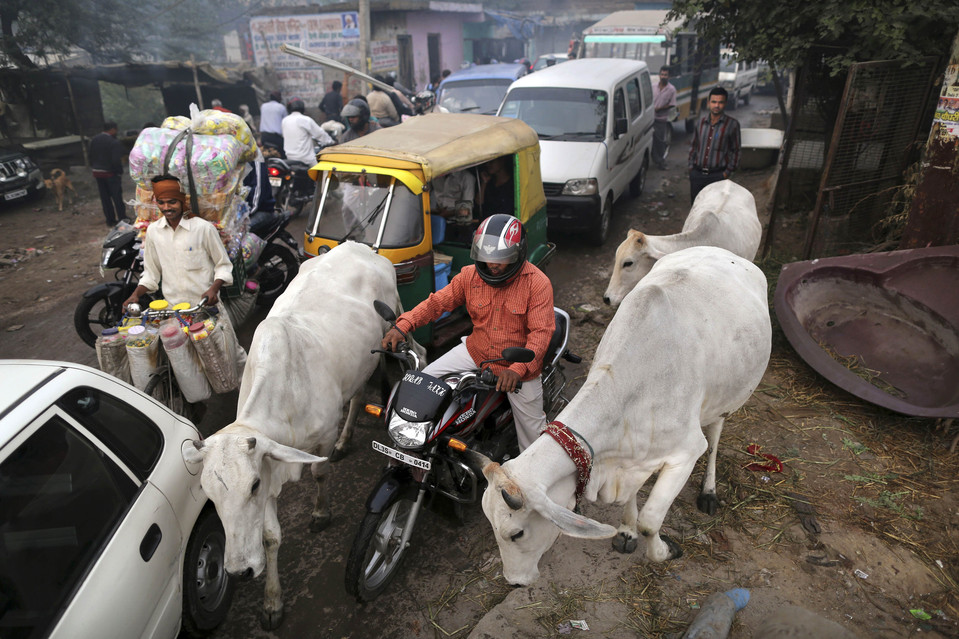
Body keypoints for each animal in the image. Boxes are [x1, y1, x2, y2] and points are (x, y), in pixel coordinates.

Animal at [182, 244, 406, 632]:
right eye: (208, 493)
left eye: (253, 485)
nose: (239, 571)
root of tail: (362, 247)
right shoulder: (271, 462)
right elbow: (271, 538)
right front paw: (272, 602)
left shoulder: (318, 439)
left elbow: (319, 473)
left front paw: (320, 512)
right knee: (357, 394)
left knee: (358, 396)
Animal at [480, 248, 772, 588]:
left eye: (517, 533)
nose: (514, 581)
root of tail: (722, 251)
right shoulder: (628, 459)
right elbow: (630, 503)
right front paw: (626, 532)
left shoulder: (685, 453)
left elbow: (650, 520)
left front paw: (665, 550)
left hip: (724, 399)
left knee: (713, 437)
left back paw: (709, 492)